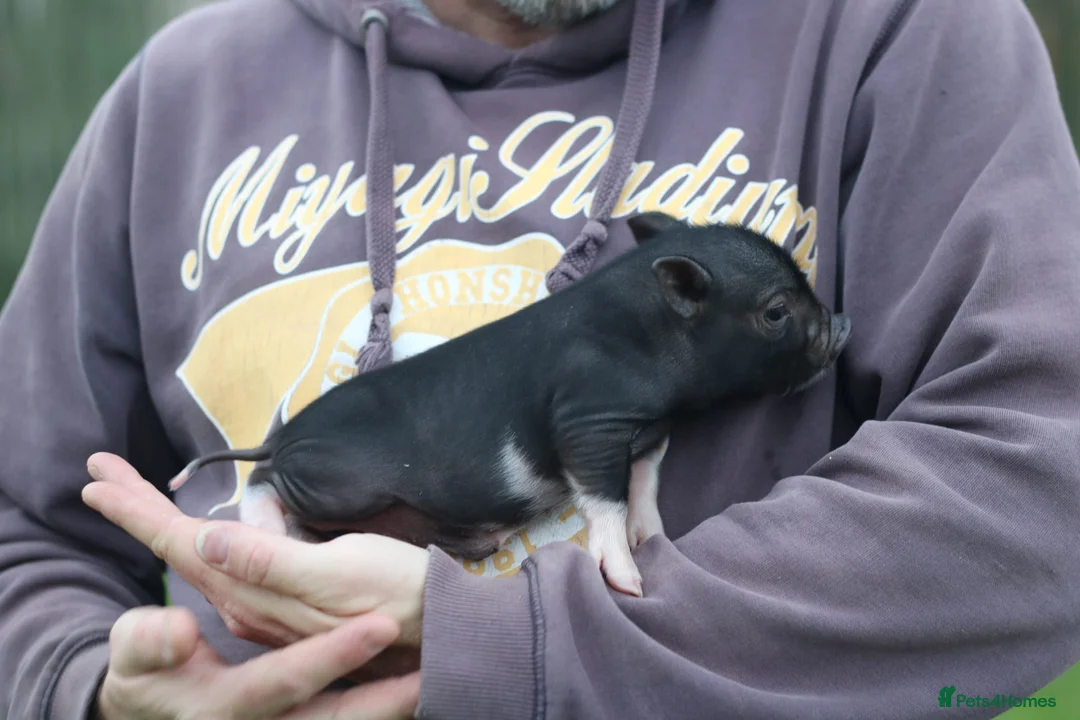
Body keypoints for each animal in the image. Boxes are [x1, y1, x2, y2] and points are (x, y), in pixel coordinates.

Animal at [168, 211, 852, 597]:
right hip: (335, 482)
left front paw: (653, 536)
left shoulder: (648, 432)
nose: (841, 325)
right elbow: (602, 500)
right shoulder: (585, 421)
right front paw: (629, 583)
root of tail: (282, 438)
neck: (646, 336)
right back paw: (267, 526)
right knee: (262, 480)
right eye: (775, 311)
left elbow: (645, 483)